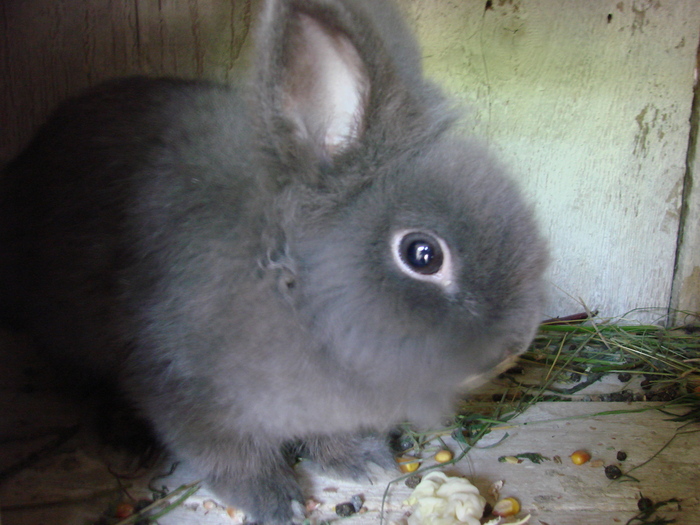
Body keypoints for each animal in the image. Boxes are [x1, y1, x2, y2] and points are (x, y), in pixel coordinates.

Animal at [0, 0, 548, 520]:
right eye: (423, 254)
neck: (290, 289)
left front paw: (362, 462)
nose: (512, 348)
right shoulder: (184, 392)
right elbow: (231, 457)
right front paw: (275, 501)